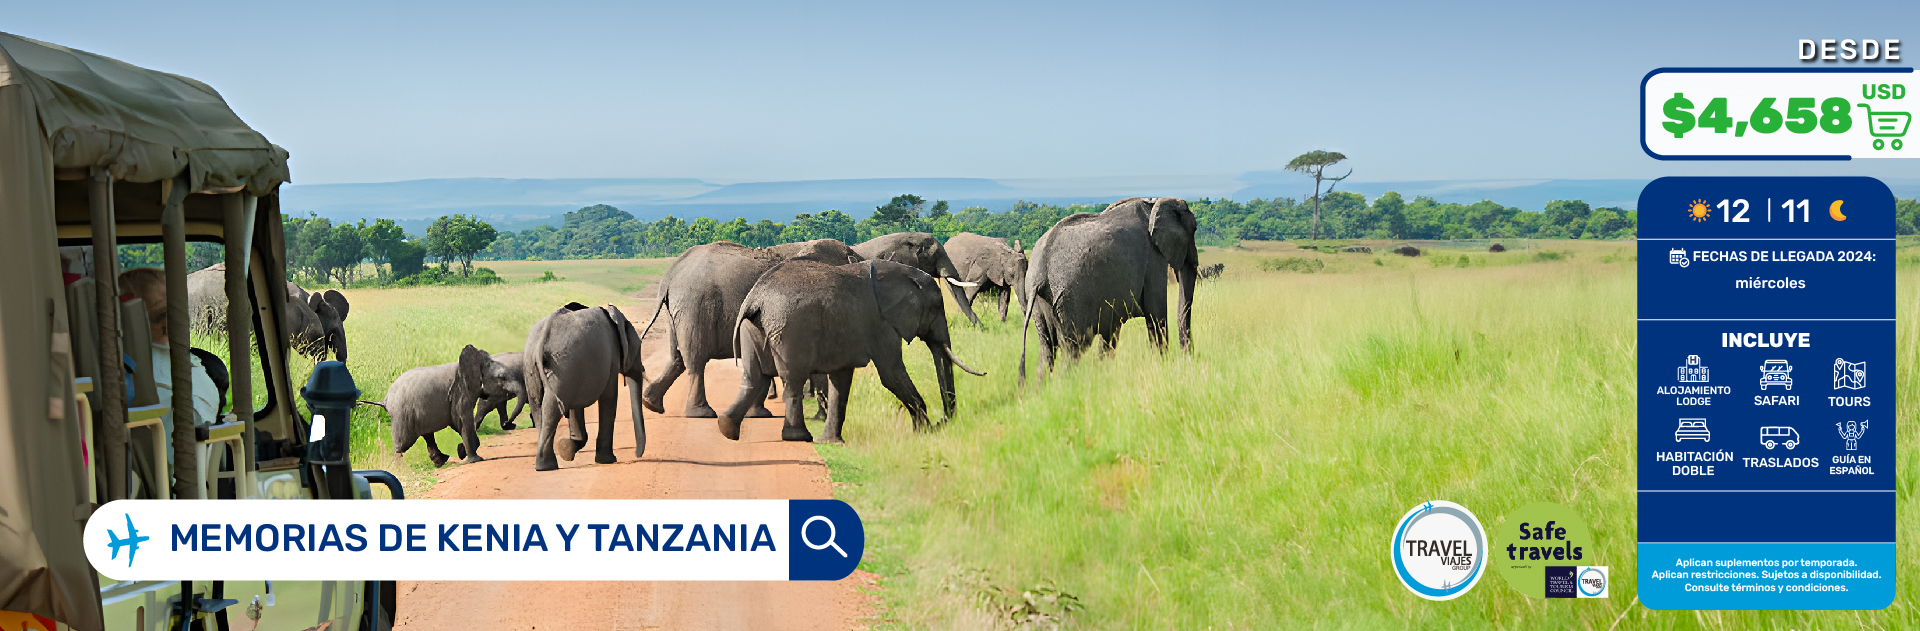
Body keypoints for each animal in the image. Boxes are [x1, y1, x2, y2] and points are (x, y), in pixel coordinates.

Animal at [362, 347, 529, 464]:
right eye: (502, 377)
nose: (510, 424)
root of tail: (385, 399)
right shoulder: (460, 393)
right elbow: (463, 420)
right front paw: (475, 459)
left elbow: (459, 424)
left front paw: (461, 451)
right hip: (402, 414)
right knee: (403, 444)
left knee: (428, 435)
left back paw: (442, 461)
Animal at [522, 303, 648, 469]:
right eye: (638, 348)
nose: (637, 455)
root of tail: (541, 339)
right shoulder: (611, 357)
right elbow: (609, 397)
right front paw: (607, 460)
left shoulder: (578, 371)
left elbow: (576, 408)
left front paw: (566, 450)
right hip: (561, 366)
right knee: (551, 408)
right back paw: (547, 466)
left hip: (536, 366)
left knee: (538, 408)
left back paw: (544, 465)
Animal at [1013, 196, 1190, 377]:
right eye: (1194, 230)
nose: (1187, 357)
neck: (1154, 203)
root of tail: (1038, 272)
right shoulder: (1153, 257)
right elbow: (1156, 315)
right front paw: (1162, 366)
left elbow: (1110, 332)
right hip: (1071, 298)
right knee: (1073, 350)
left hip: (1039, 301)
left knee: (1047, 350)